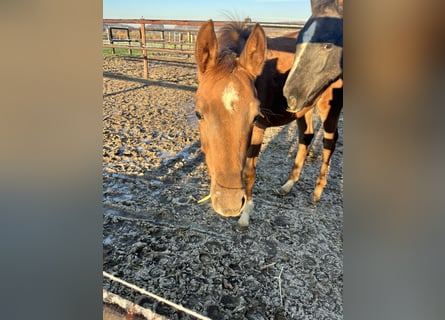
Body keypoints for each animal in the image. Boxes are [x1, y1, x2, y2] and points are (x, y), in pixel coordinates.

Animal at [193, 18, 340, 226]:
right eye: (198, 114)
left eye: (254, 116)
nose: (228, 204)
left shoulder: (259, 128)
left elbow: (249, 172)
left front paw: (245, 214)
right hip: (303, 108)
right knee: (306, 136)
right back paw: (288, 185)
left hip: (330, 107)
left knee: (330, 142)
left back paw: (317, 192)